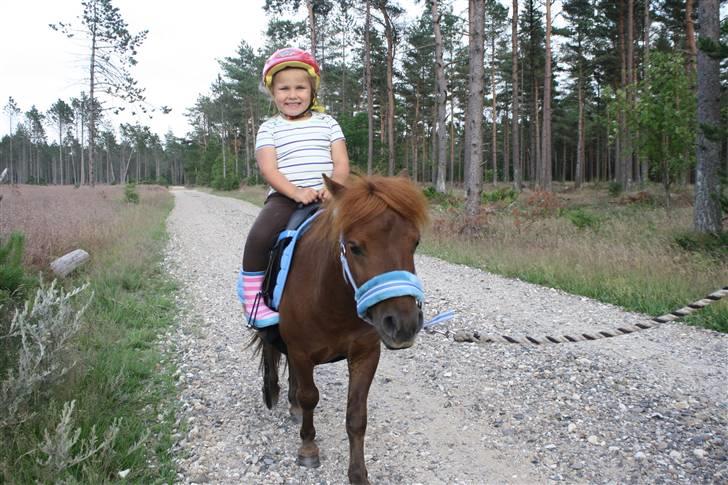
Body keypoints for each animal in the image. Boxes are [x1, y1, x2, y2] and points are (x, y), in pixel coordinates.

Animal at [253, 174, 430, 484]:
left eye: (415, 242)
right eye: (355, 246)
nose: (403, 324)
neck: (331, 299)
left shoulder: (365, 355)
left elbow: (356, 416)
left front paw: (358, 473)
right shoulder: (302, 352)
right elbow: (310, 397)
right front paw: (308, 449)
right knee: (269, 346)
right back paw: (272, 391)